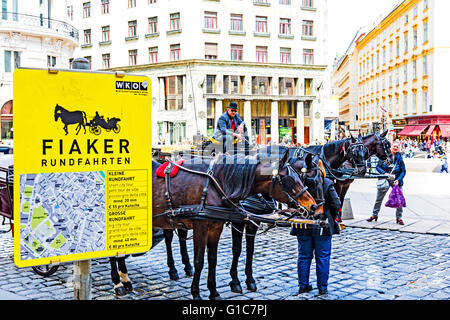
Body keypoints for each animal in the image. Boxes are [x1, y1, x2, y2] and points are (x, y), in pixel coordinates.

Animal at [154, 150, 320, 300]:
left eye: (301, 178)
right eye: (289, 179)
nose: (314, 207)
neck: (217, 184)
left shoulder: (222, 226)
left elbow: (220, 257)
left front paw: (219, 290)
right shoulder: (207, 225)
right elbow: (208, 259)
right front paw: (200, 292)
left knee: (180, 236)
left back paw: (186, 267)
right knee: (169, 238)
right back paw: (173, 269)